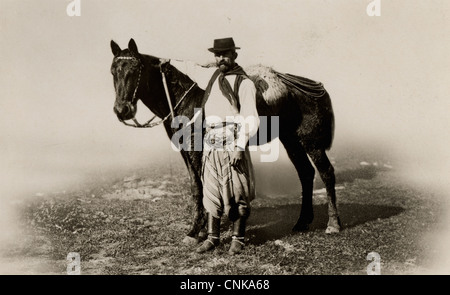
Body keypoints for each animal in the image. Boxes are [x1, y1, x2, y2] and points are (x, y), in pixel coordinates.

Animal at [110, 38, 342, 245]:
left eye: (135, 69)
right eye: (113, 71)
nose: (122, 110)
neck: (185, 101)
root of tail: (315, 88)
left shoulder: (196, 149)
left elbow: (202, 187)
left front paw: (197, 230)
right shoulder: (185, 150)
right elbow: (195, 187)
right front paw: (199, 229)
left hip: (311, 143)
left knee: (326, 173)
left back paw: (333, 224)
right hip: (291, 141)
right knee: (306, 173)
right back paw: (302, 222)